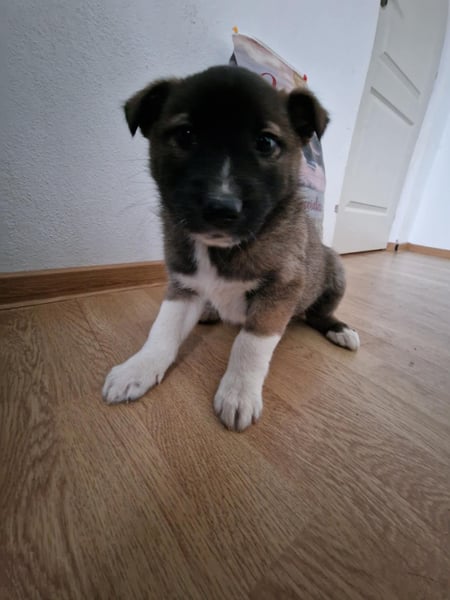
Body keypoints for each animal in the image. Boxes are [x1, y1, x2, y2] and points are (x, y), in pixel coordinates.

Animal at [102, 65, 359, 431]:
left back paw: (340, 329)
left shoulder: (280, 290)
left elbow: (249, 344)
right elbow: (162, 330)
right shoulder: (183, 284)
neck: (222, 249)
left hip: (335, 270)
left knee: (316, 313)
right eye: (185, 135)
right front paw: (138, 368)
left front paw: (238, 393)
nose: (221, 208)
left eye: (266, 142)